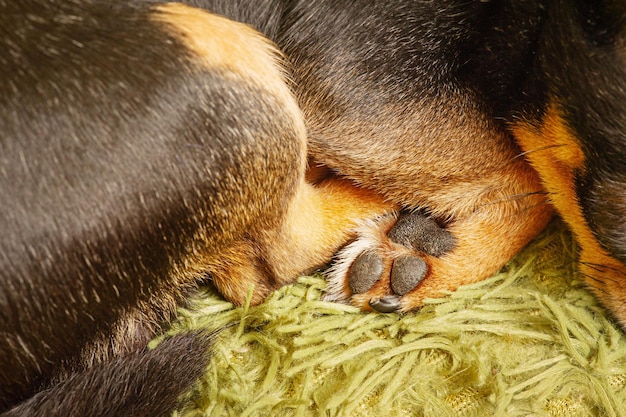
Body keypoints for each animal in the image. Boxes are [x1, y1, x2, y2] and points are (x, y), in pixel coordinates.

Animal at [1, 0, 624, 414]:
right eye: (615, 225)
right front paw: (422, 252)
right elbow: (531, 176)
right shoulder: (351, 72)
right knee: (275, 255)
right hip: (221, 51)